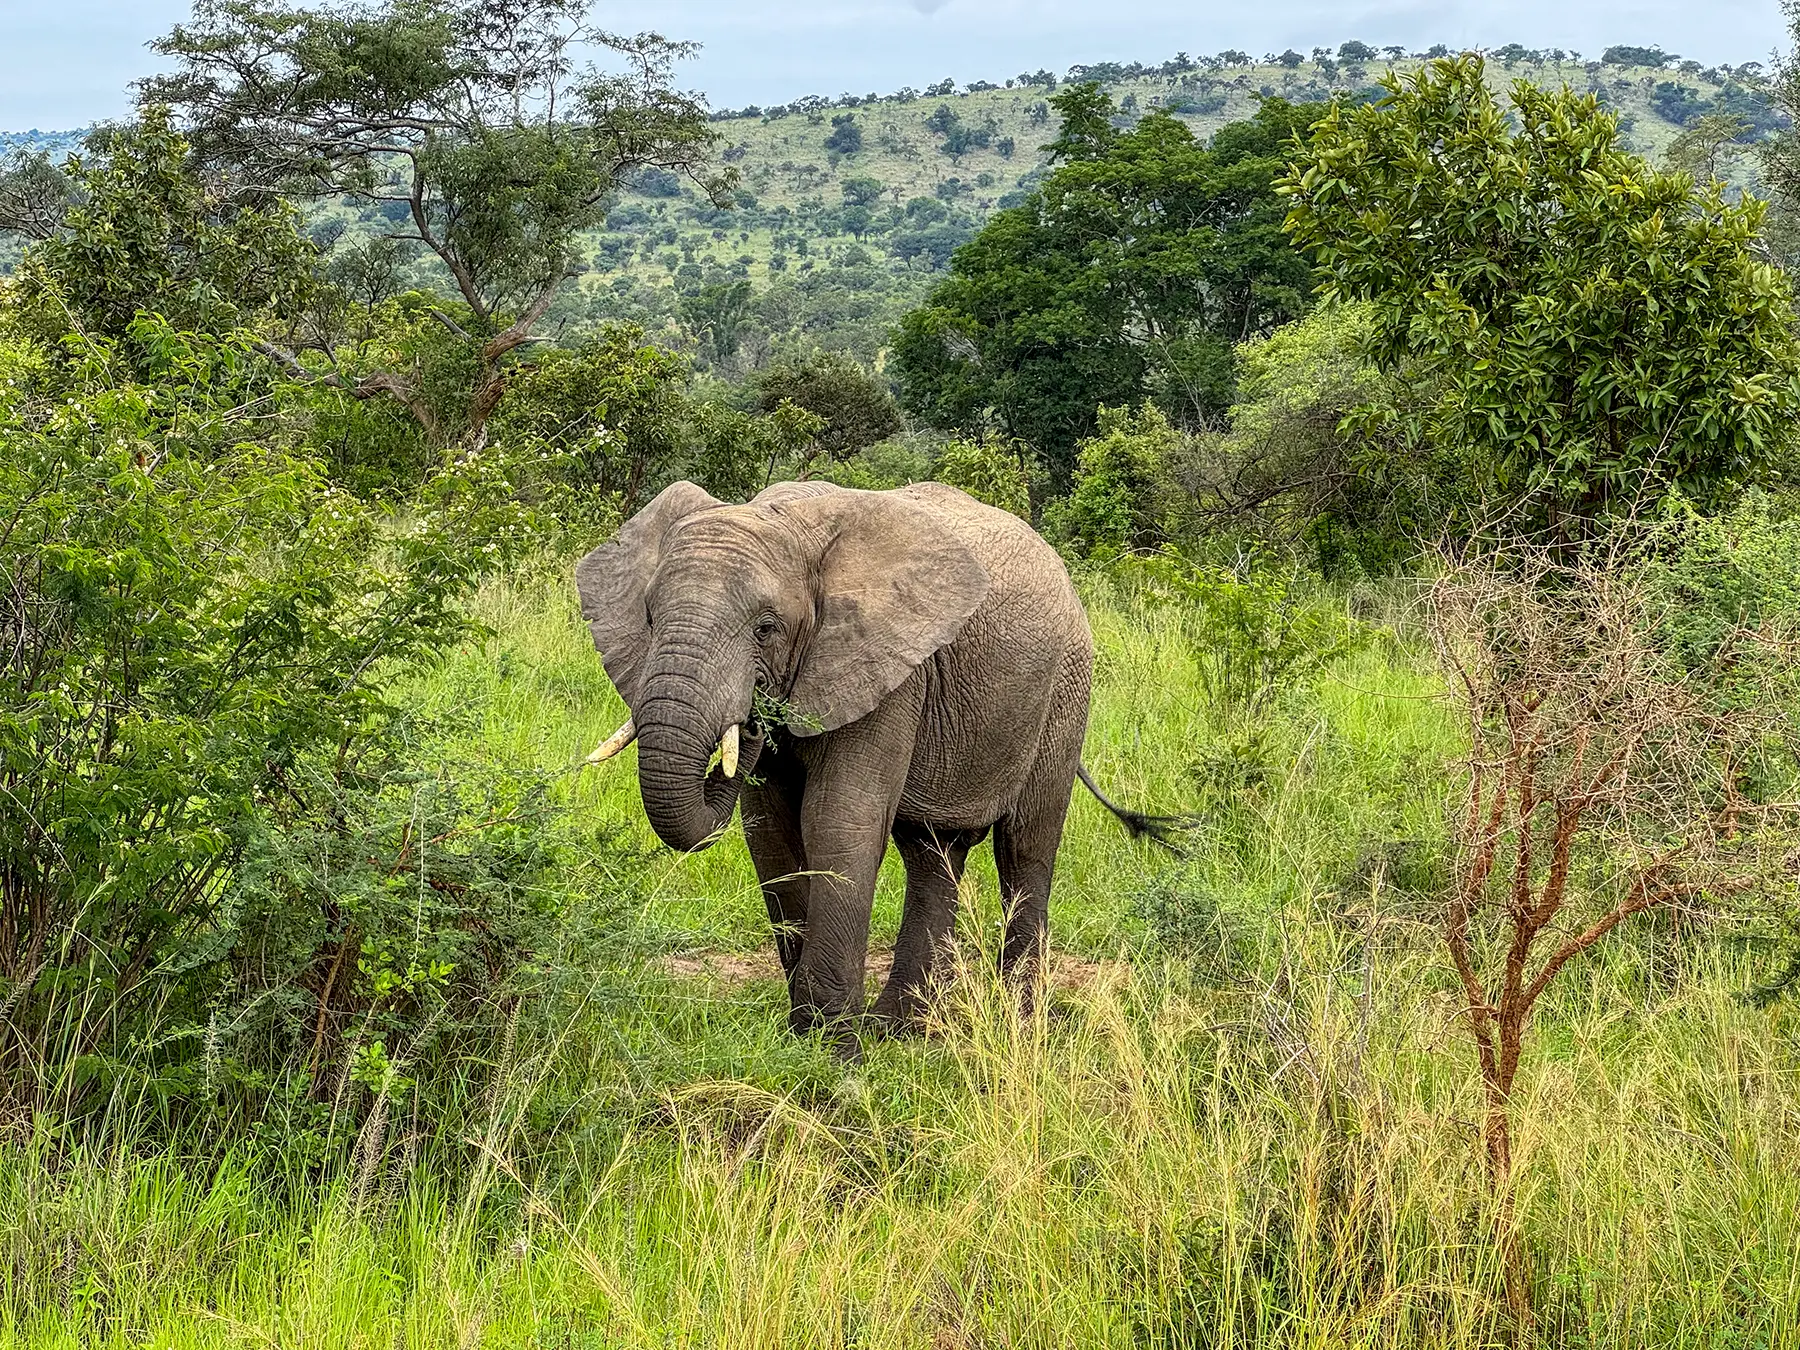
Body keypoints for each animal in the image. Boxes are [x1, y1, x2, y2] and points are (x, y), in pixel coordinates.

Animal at [575, 478, 1172, 1040]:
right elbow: (771, 833)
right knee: (934, 853)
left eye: (766, 627)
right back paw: (900, 1029)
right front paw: (808, 1039)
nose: (750, 718)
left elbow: (839, 823)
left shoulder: (890, 673)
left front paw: (833, 1056)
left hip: (1065, 691)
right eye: (650, 617)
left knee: (1025, 848)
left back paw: (1018, 1026)